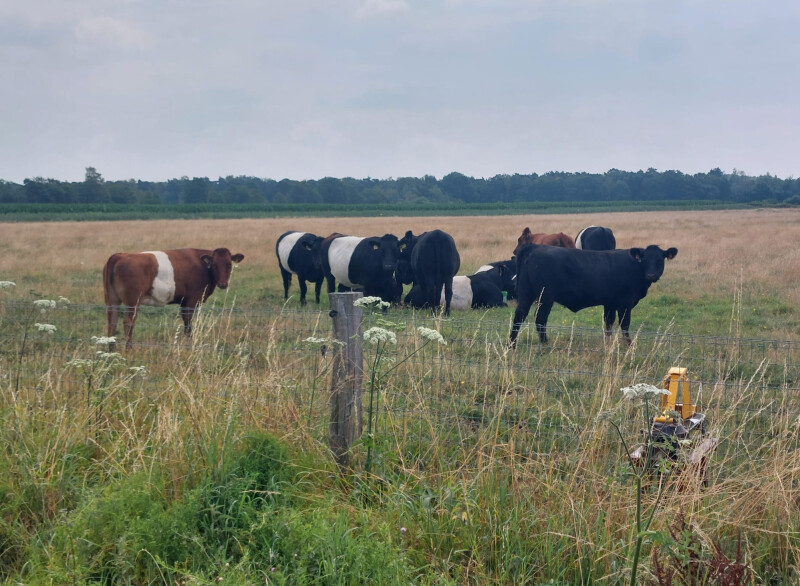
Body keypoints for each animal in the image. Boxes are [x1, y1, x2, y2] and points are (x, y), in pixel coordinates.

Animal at [103, 247, 245, 350]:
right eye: (214, 265)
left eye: (228, 264)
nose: (223, 284)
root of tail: (118, 256)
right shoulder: (191, 300)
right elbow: (188, 324)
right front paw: (189, 345)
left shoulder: (184, 301)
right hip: (133, 301)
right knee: (128, 321)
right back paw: (129, 349)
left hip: (112, 300)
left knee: (112, 320)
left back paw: (111, 350)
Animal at [508, 244, 677, 347]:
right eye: (644, 259)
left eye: (660, 259)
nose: (651, 275)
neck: (636, 268)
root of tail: (534, 247)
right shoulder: (625, 303)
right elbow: (625, 324)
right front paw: (629, 345)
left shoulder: (610, 303)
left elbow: (608, 324)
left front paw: (607, 344)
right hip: (545, 297)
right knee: (540, 320)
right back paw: (545, 344)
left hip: (526, 294)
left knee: (519, 317)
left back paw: (512, 345)